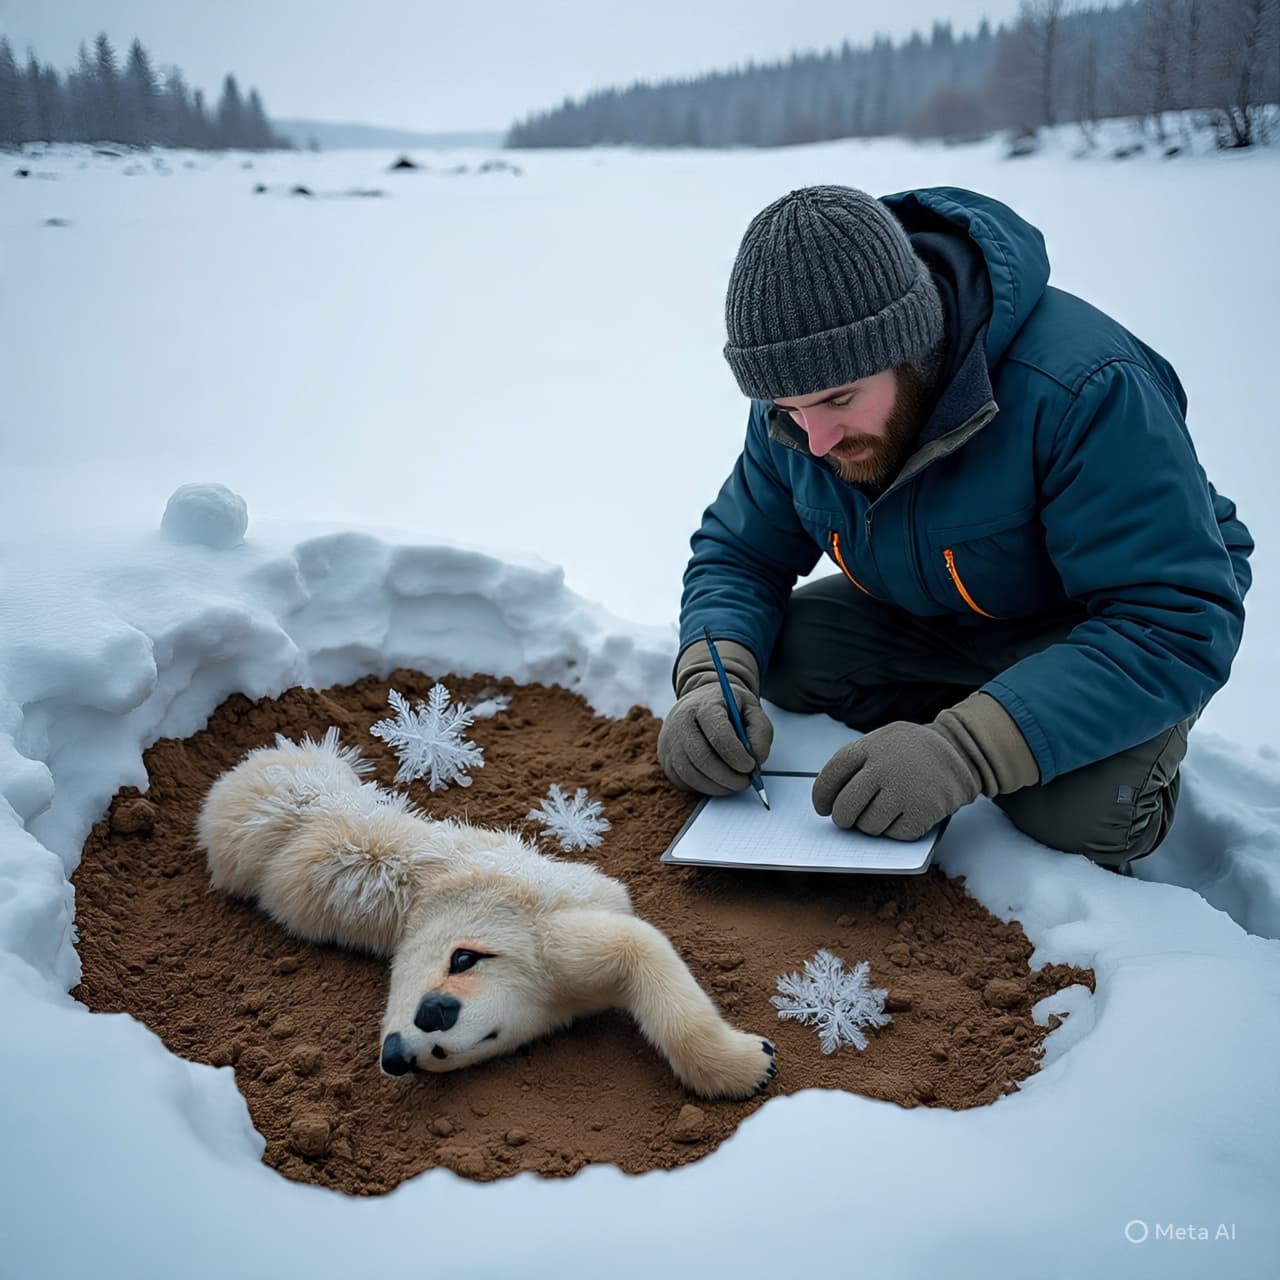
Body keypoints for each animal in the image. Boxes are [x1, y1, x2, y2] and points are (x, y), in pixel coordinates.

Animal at [195, 728, 777, 1100]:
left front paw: (752, 1064)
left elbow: (636, 945)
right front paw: (753, 1063)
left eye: (438, 1028)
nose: (395, 1055)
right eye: (437, 1052)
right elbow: (638, 944)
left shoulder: (545, 940)